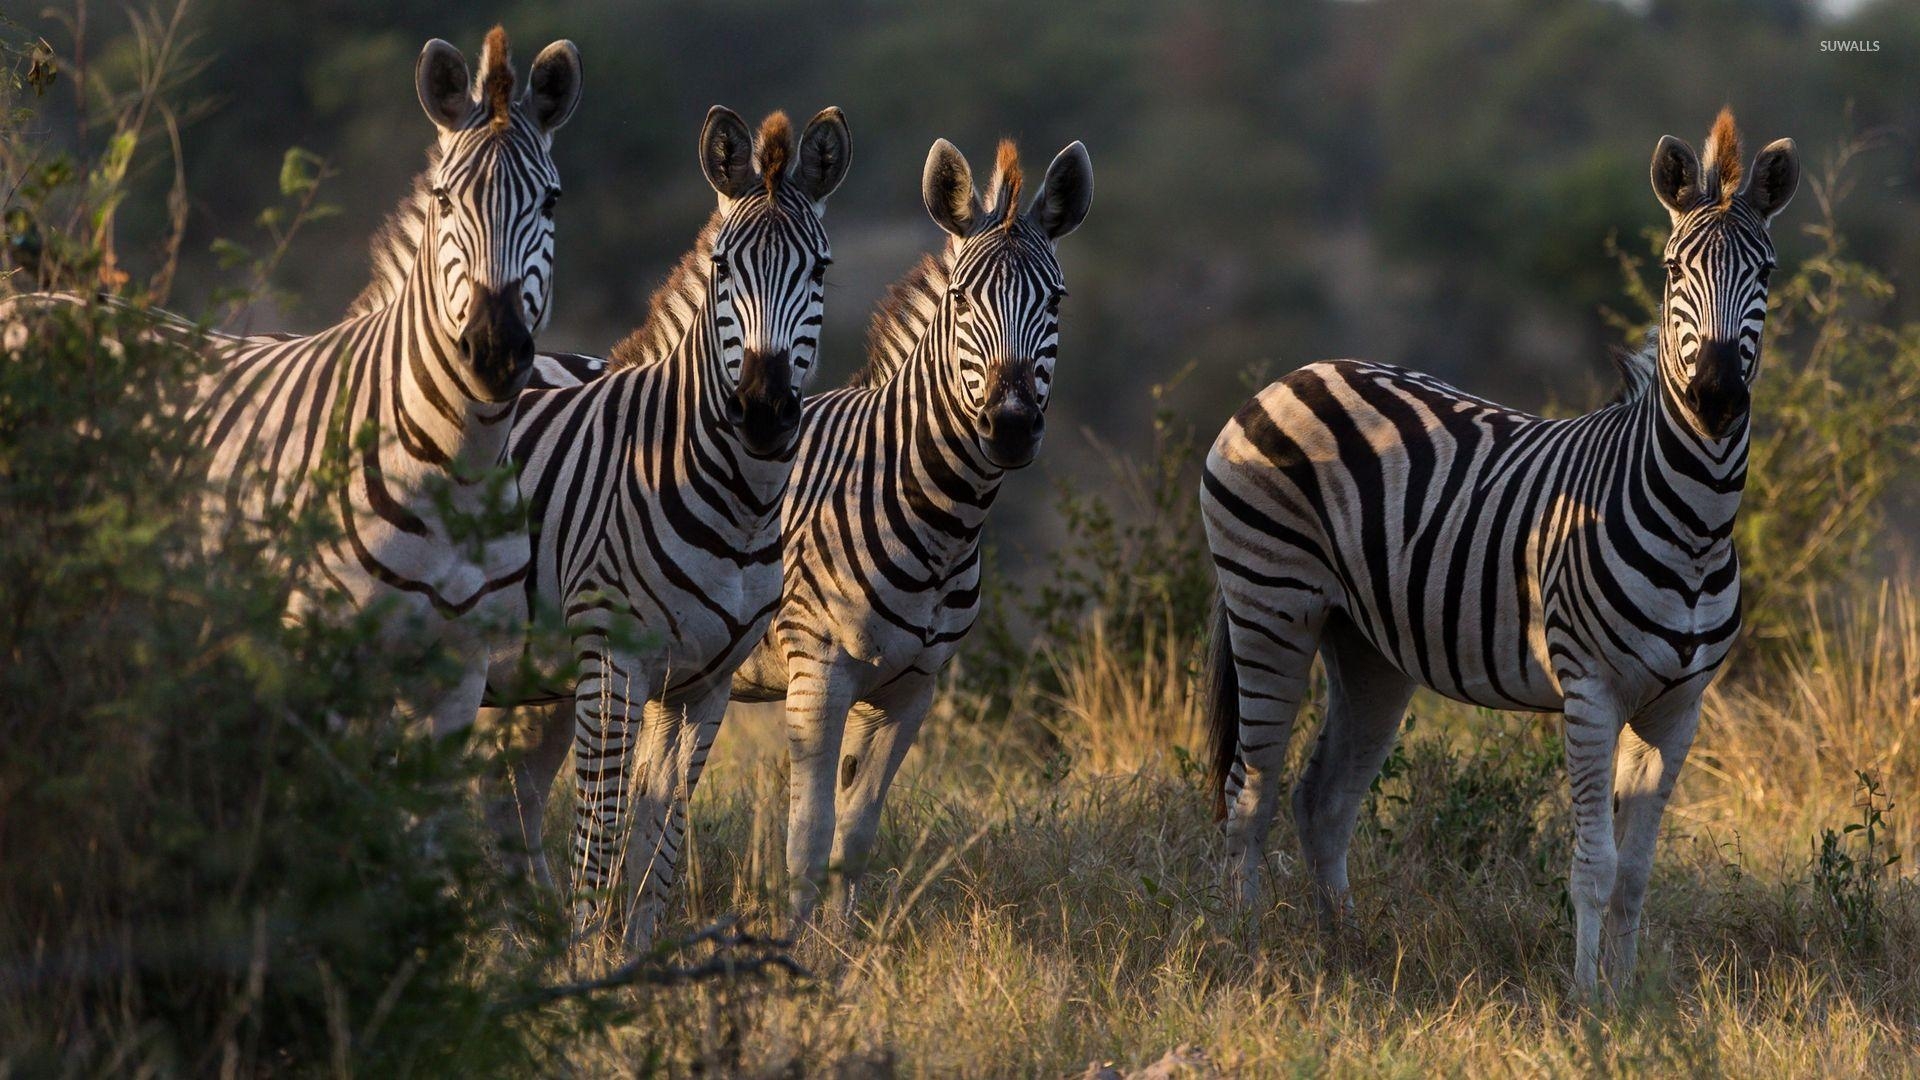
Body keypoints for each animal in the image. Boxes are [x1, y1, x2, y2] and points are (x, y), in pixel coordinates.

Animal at [3, 27, 579, 730]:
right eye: (444, 200)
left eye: (551, 200)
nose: (494, 351)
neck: (456, 471)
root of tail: (28, 303)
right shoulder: (324, 655)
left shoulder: (458, 674)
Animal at [476, 102, 852, 941]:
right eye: (722, 268)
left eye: (819, 271)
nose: (762, 410)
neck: (738, 507)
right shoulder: (613, 662)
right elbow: (603, 826)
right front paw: (587, 954)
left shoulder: (704, 685)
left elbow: (663, 834)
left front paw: (637, 952)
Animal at [725, 138, 1098, 922]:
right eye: (960, 299)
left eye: (1055, 301)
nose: (1011, 426)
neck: (943, 522)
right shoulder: (818, 670)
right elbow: (809, 834)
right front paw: (796, 946)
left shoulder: (911, 689)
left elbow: (856, 834)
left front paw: (841, 945)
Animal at [1198, 111, 1797, 991]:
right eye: (1671, 269)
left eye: (1766, 272)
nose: (1717, 394)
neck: (1694, 524)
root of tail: (1292, 375)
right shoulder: (1590, 690)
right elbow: (1594, 865)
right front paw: (1586, 1001)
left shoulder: (1679, 707)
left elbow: (1638, 873)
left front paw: (1629, 999)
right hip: (1268, 605)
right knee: (1250, 793)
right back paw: (1246, 953)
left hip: (1366, 647)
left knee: (1322, 801)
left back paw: (1347, 956)